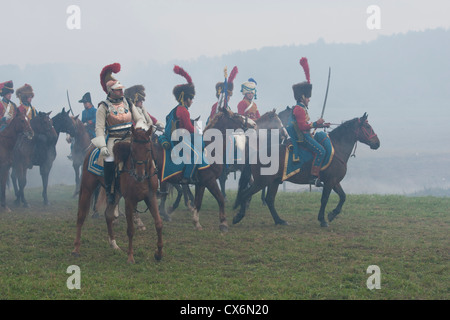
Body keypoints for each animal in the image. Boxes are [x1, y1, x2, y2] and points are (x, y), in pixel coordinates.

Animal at [73, 125, 164, 262]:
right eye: (132, 150)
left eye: (148, 149)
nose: (139, 175)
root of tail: (92, 149)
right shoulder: (129, 200)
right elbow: (130, 229)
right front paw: (130, 256)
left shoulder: (150, 197)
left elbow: (158, 223)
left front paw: (158, 254)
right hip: (87, 189)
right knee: (81, 216)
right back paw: (76, 249)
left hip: (115, 194)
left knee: (108, 214)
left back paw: (114, 244)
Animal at [232, 112, 380, 228]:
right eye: (367, 127)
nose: (377, 143)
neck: (337, 148)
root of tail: (255, 153)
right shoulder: (329, 182)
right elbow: (324, 199)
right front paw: (323, 220)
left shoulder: (335, 181)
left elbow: (343, 197)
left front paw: (332, 214)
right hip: (262, 182)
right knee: (246, 194)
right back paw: (238, 217)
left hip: (274, 181)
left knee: (269, 200)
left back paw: (280, 220)